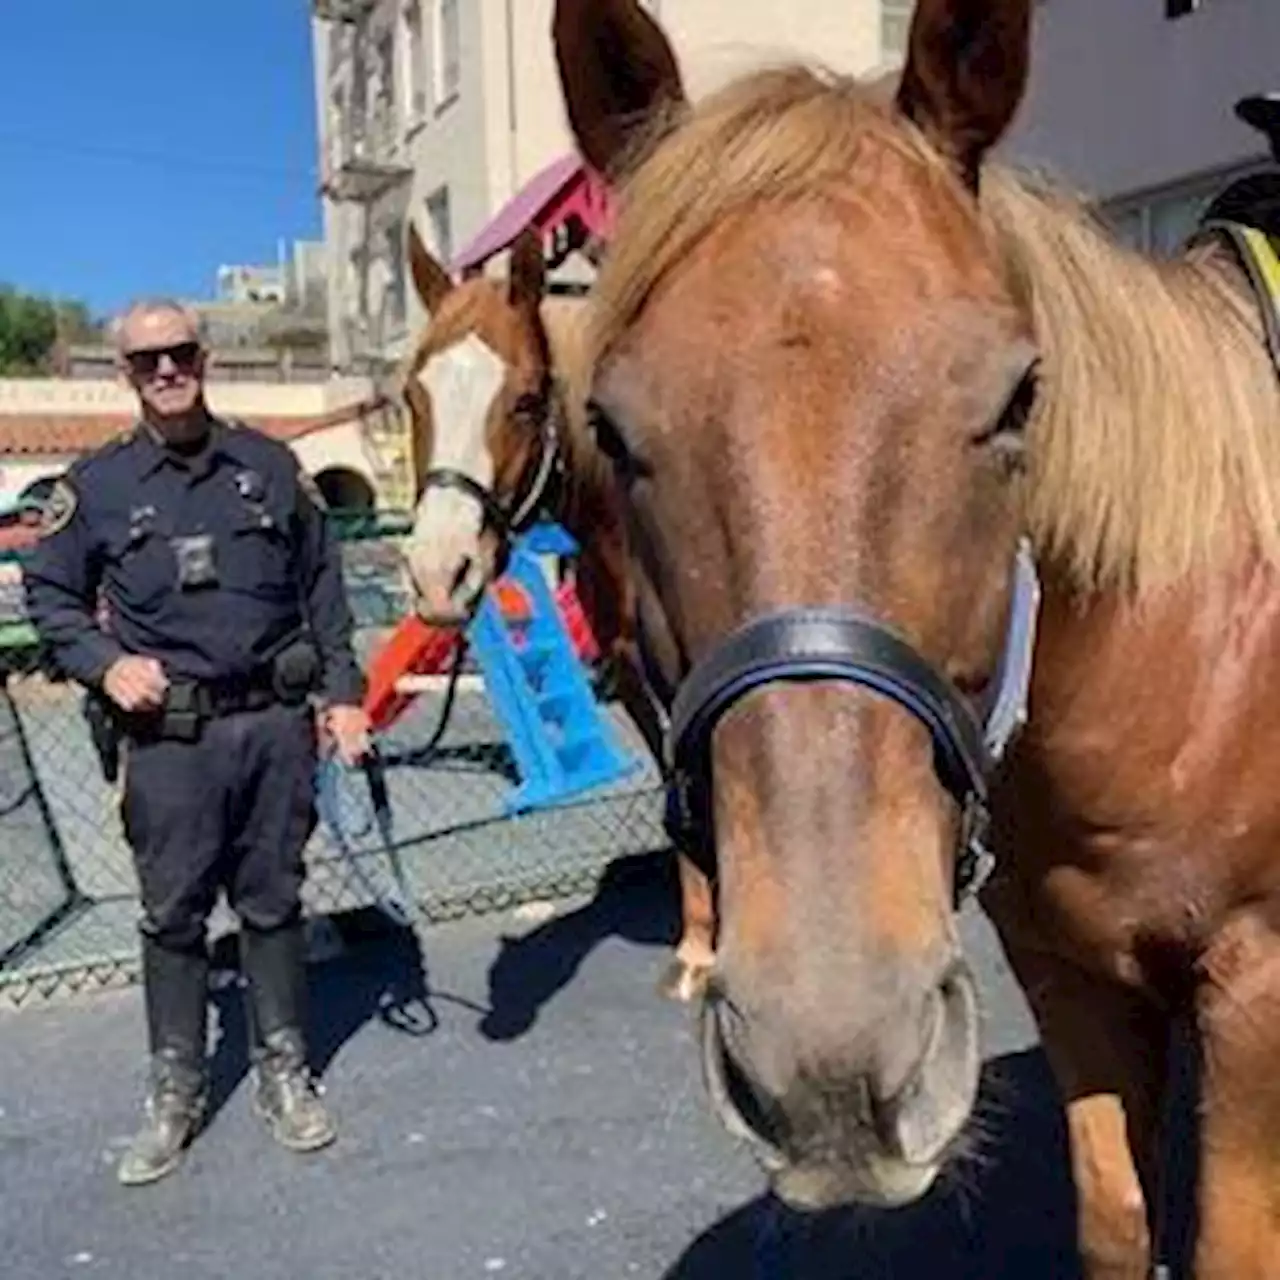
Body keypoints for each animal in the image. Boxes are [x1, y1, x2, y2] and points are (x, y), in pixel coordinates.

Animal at [552, 0, 1280, 1274]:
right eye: (609, 426)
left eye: (1019, 395)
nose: (829, 1062)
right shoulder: (1065, 971)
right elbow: (1114, 1215)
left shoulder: (1255, 986)